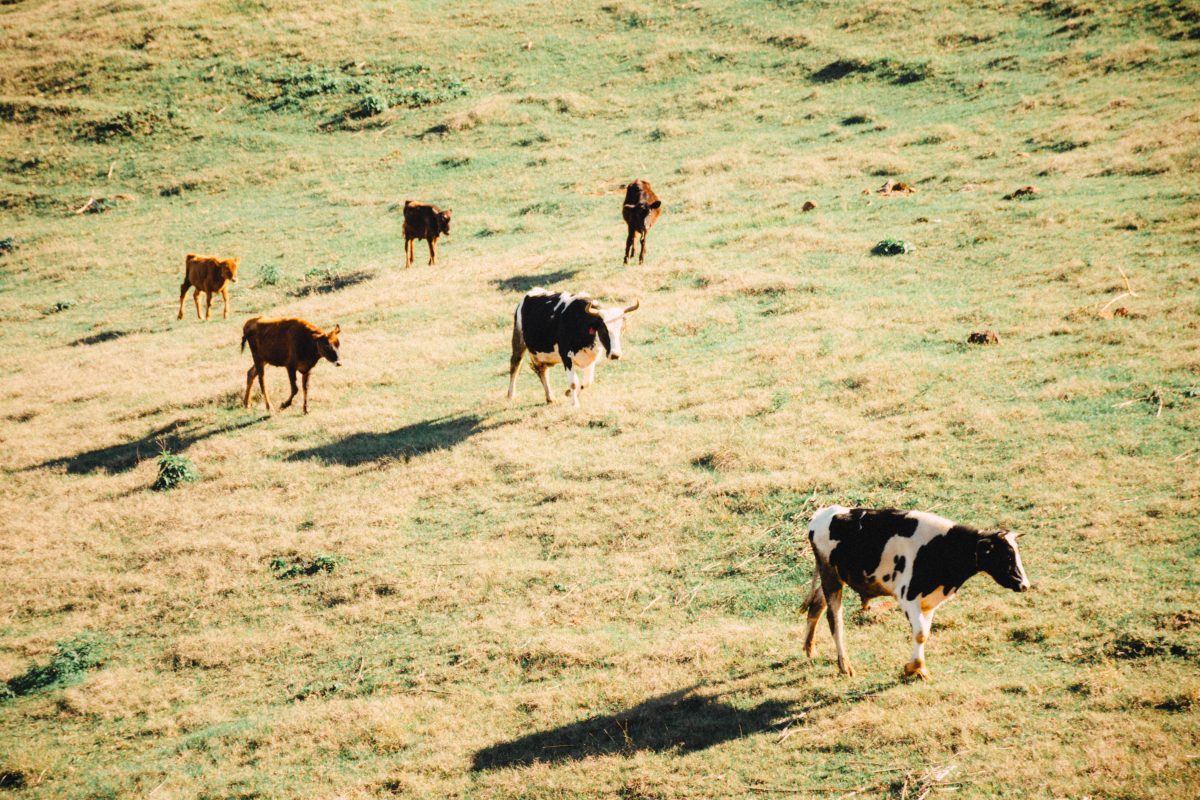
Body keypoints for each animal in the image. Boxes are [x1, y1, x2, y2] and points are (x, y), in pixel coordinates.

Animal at [504, 289, 638, 407]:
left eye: (622, 329)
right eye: (604, 330)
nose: (615, 355)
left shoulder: (591, 358)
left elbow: (587, 382)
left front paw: (569, 393)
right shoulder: (566, 356)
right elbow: (574, 382)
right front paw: (575, 403)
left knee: (542, 371)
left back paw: (550, 398)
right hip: (519, 340)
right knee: (515, 364)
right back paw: (511, 394)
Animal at [801, 506, 1027, 681]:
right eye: (1006, 555)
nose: (1024, 584)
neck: (943, 547)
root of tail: (823, 513)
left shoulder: (929, 601)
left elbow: (924, 633)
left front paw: (919, 669)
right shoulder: (908, 596)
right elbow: (920, 634)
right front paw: (914, 668)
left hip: (833, 577)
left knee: (816, 607)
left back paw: (810, 649)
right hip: (830, 577)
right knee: (835, 620)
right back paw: (845, 666)